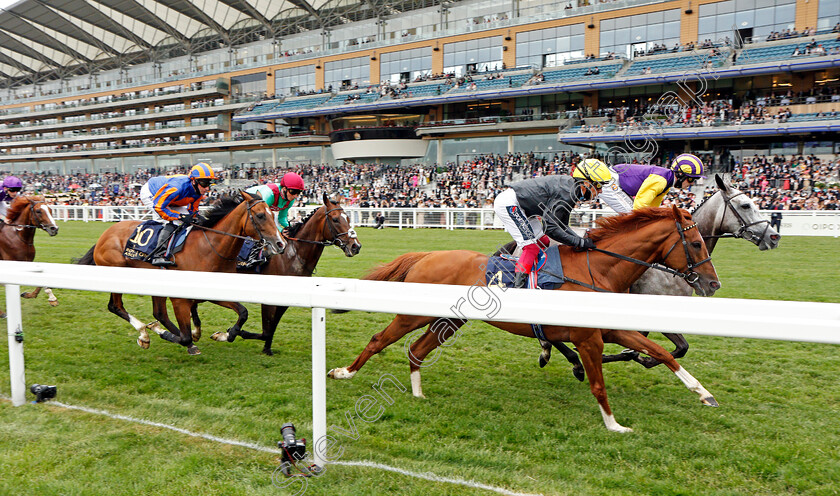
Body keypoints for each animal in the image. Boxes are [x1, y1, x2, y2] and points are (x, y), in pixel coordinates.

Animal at [74, 192, 282, 354]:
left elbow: (243, 313)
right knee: (116, 306)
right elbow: (185, 336)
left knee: (159, 313)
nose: (280, 243)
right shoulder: (180, 297)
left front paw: (225, 334)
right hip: (117, 273)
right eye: (261, 215)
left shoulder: (211, 292)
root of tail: (104, 235)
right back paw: (145, 333)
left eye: (273, 214)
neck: (209, 247)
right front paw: (173, 335)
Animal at [192, 192, 362, 354]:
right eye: (335, 219)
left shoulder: (286, 299)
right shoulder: (268, 299)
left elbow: (271, 327)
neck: (293, 255)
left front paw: (267, 348)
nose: (356, 246)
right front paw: (228, 333)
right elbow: (265, 329)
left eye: (348, 218)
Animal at [328, 205, 720, 430]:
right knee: (380, 339)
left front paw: (704, 394)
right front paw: (614, 425)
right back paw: (344, 372)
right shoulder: (588, 338)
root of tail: (426, 255)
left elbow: (663, 353)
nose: (713, 283)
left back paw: (418, 393)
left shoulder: (611, 331)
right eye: (696, 243)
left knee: (417, 350)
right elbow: (598, 383)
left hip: (447, 322)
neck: (598, 270)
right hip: (414, 315)